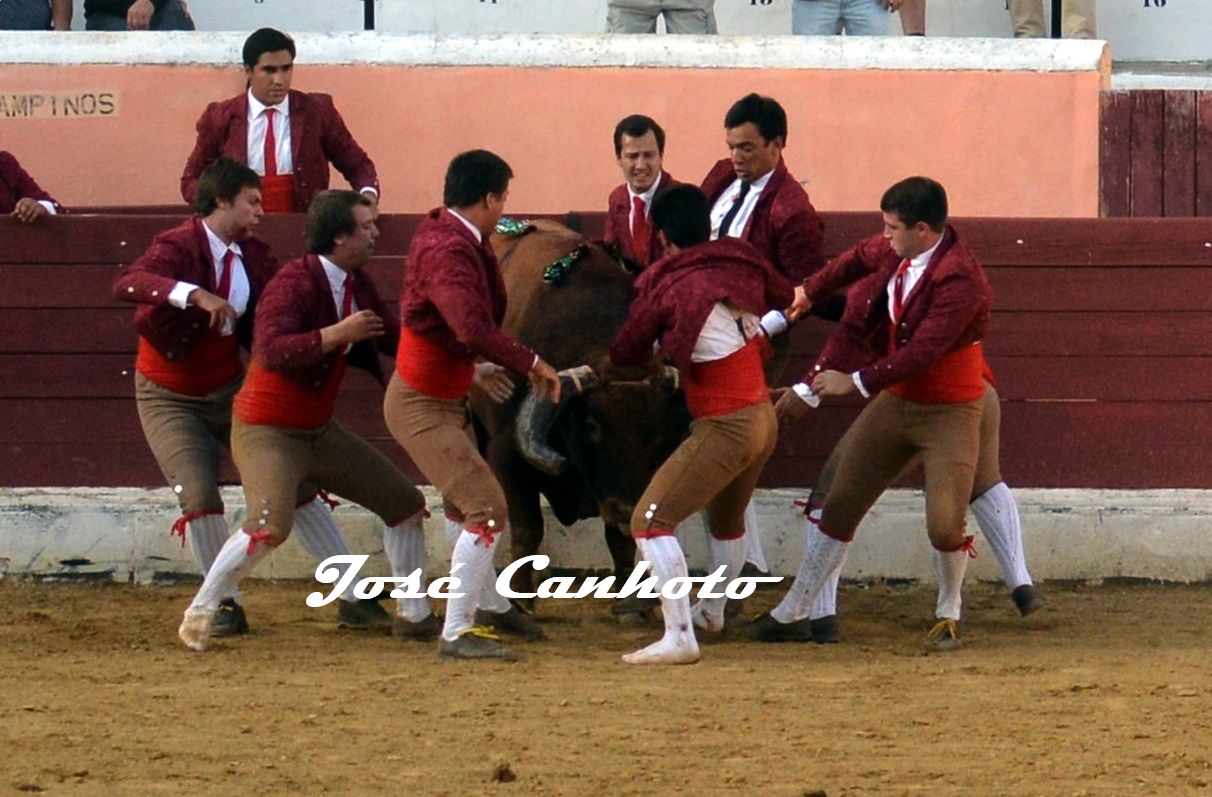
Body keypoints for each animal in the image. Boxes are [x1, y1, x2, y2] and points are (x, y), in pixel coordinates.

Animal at [468, 219, 690, 614]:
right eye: (591, 426)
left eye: (657, 434)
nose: (626, 509)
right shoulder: (506, 454)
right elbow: (528, 527)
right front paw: (521, 600)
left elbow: (619, 539)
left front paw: (628, 600)